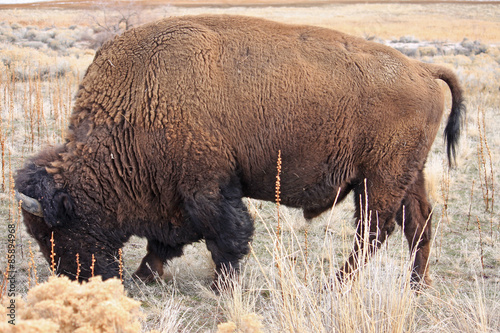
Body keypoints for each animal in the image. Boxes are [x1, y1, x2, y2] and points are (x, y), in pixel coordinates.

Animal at [14, 14, 464, 286]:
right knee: (417, 225)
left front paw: (221, 286)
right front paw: (147, 275)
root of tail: (423, 70)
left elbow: (226, 236)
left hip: (379, 178)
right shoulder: (177, 195)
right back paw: (416, 287)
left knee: (374, 231)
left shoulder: (205, 189)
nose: (77, 279)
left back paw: (338, 283)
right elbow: (166, 242)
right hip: (408, 175)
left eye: (57, 229)